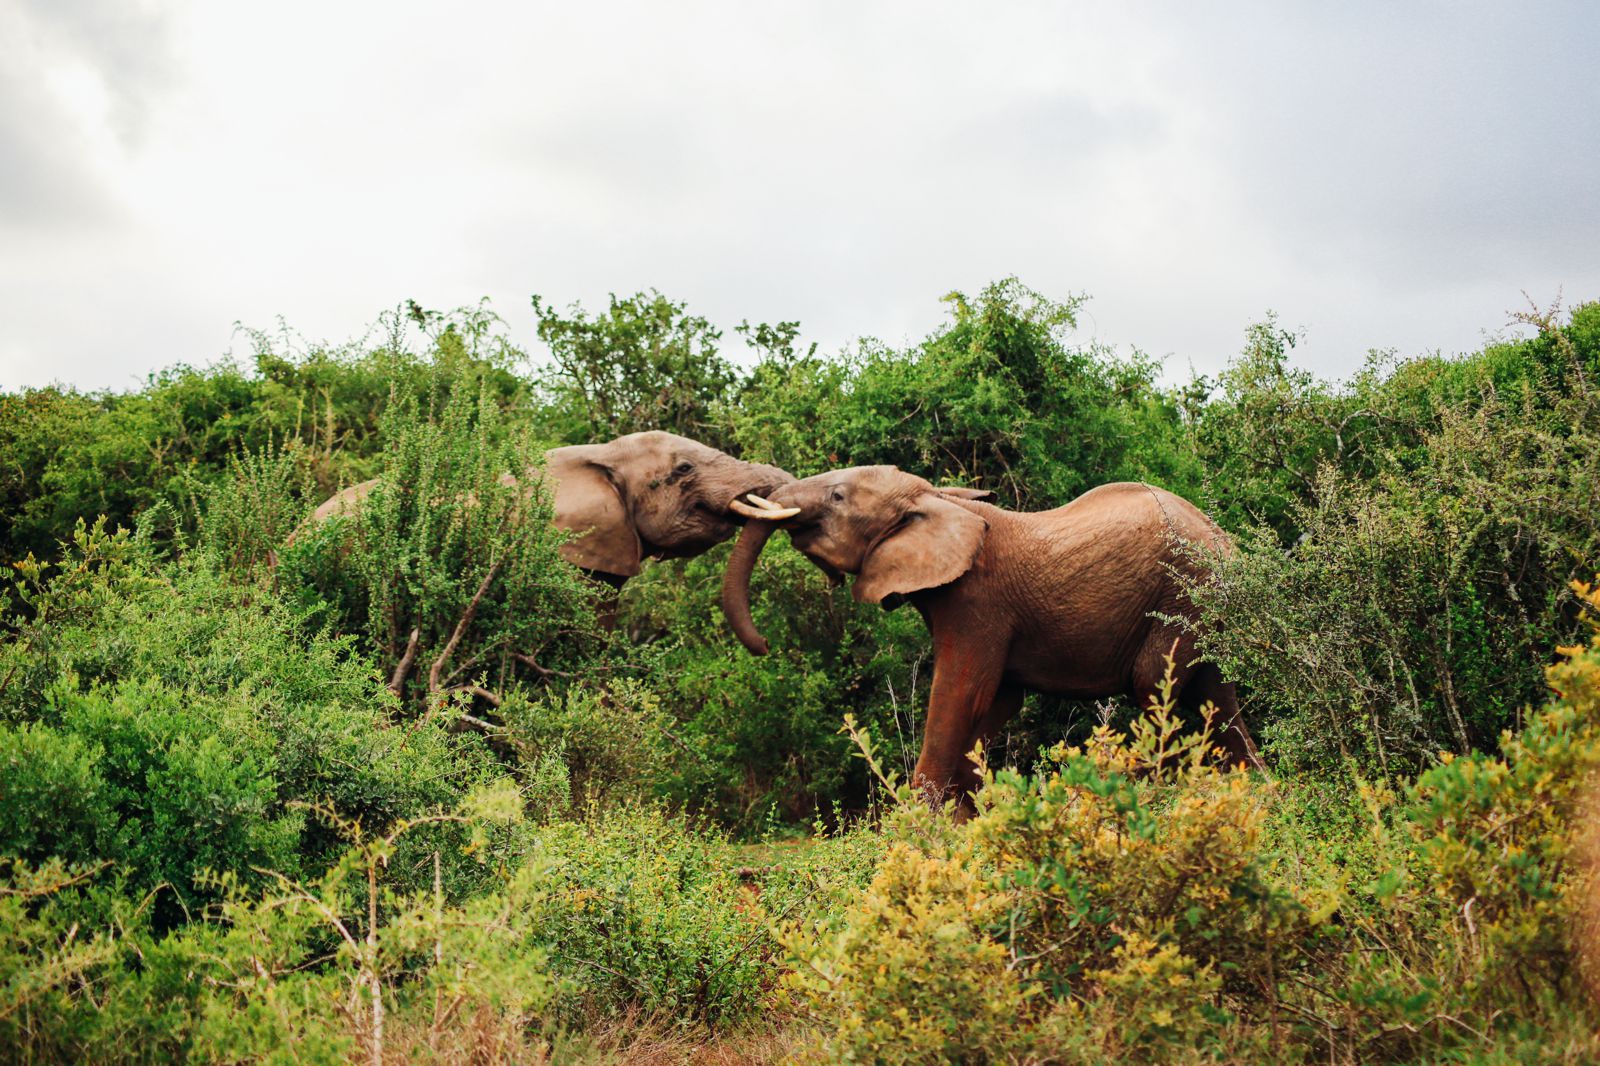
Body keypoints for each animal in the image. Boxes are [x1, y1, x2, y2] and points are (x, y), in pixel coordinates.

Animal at [723, 464, 1260, 806]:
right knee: (1218, 698)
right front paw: (972, 817)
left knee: (1155, 686)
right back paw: (1258, 793)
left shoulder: (977, 604)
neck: (938, 499)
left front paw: (920, 833)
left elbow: (959, 694)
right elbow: (996, 702)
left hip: (1183, 597)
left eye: (837, 497)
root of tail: (1229, 546)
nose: (765, 645)